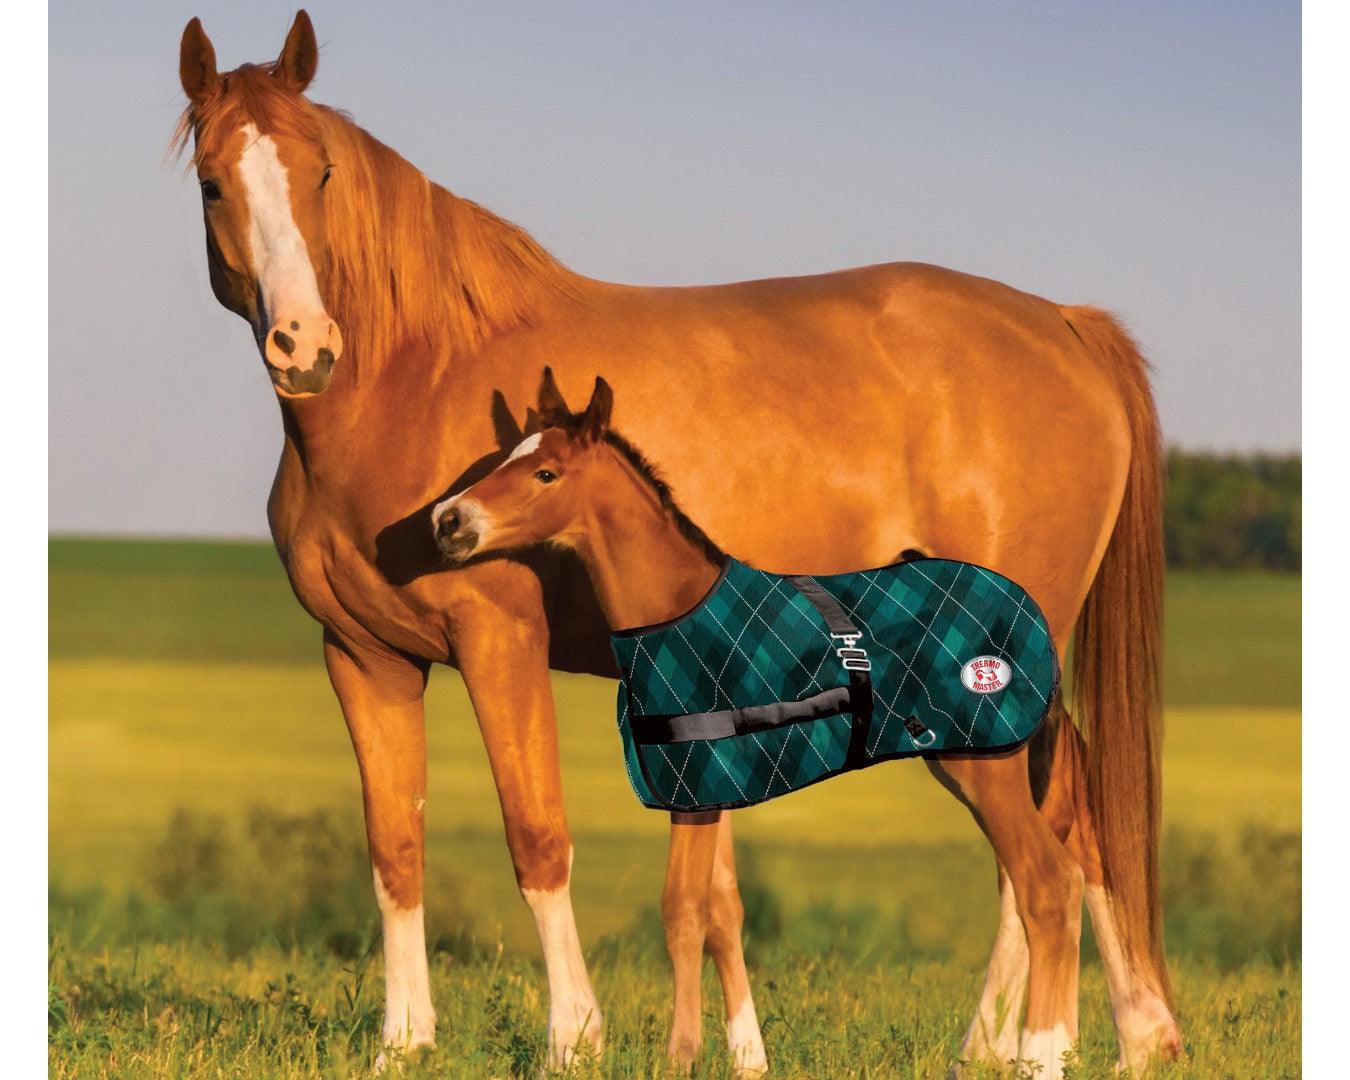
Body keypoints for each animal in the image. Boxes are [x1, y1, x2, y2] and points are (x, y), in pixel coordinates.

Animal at [174, 10, 1181, 1077]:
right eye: (213, 181)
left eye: (320, 171)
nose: (303, 346)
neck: (411, 380)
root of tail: (1063, 325)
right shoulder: (365, 659)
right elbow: (394, 850)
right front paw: (403, 1045)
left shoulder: (499, 642)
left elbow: (538, 836)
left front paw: (574, 1037)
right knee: (1072, 820)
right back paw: (1101, 1037)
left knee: (1051, 829)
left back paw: (1025, 1042)